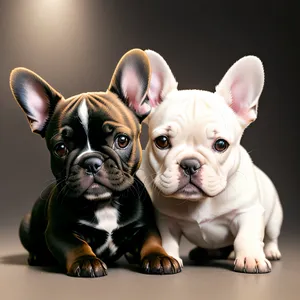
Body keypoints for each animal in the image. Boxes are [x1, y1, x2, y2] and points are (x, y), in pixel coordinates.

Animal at [138, 50, 284, 274]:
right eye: (162, 141)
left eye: (221, 144)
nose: (190, 164)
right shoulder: (165, 219)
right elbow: (167, 240)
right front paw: (168, 257)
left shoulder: (248, 212)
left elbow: (246, 237)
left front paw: (251, 258)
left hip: (275, 216)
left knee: (271, 236)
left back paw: (270, 251)